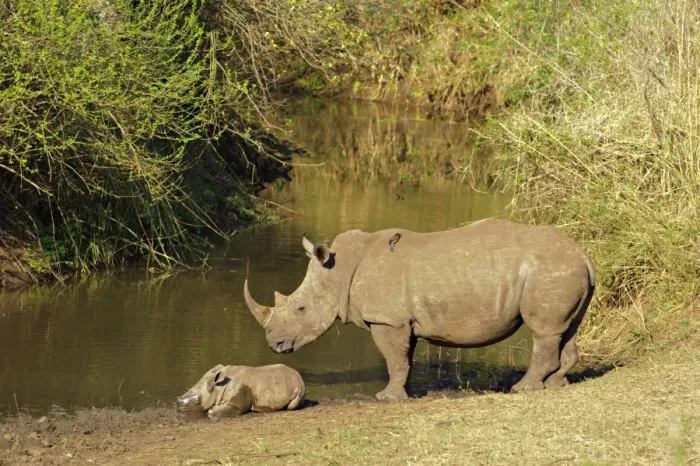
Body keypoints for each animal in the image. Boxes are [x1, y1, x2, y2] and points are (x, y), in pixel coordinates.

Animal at [176, 364, 305, 420]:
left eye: (197, 400)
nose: (177, 407)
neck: (219, 387)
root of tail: (299, 376)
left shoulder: (236, 404)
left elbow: (212, 411)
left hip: (299, 389)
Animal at [244, 218, 596, 401]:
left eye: (301, 309)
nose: (274, 344)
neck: (340, 269)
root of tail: (584, 256)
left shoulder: (386, 320)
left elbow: (394, 360)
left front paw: (385, 398)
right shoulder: (401, 320)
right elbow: (405, 359)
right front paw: (403, 393)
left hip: (548, 270)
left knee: (544, 331)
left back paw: (522, 389)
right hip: (565, 270)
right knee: (566, 330)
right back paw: (555, 384)